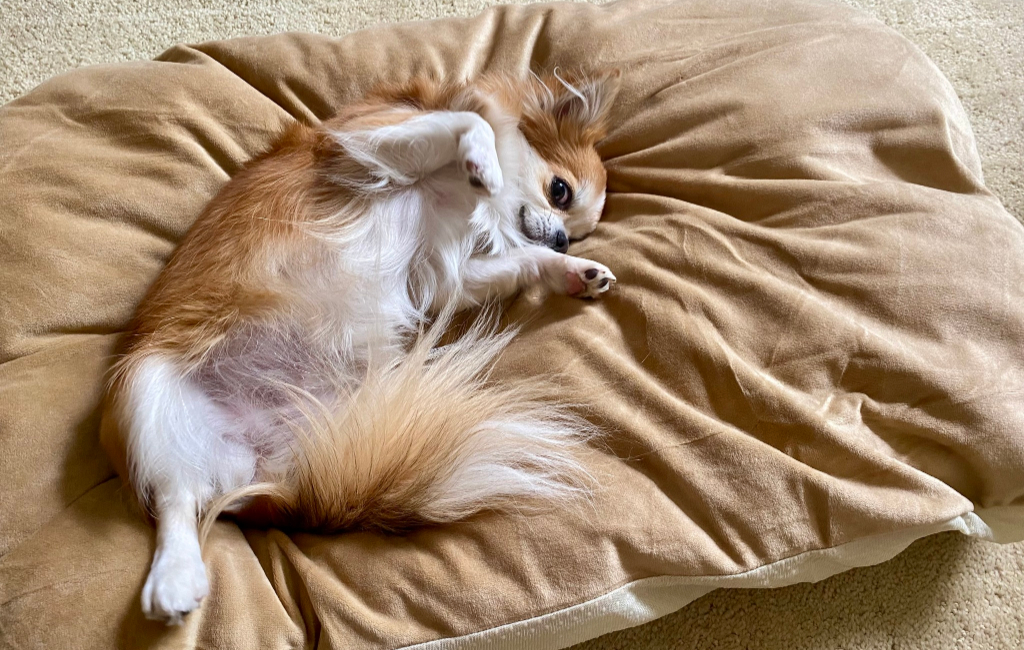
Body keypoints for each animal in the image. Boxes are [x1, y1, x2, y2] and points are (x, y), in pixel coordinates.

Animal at [99, 68, 618, 622]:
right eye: (560, 190)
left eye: (576, 233)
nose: (562, 240)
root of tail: (270, 472)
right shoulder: (368, 144)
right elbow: (470, 120)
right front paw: (485, 163)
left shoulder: (447, 275)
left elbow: (521, 261)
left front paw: (573, 272)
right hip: (144, 392)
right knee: (175, 500)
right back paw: (174, 579)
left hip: (355, 415)